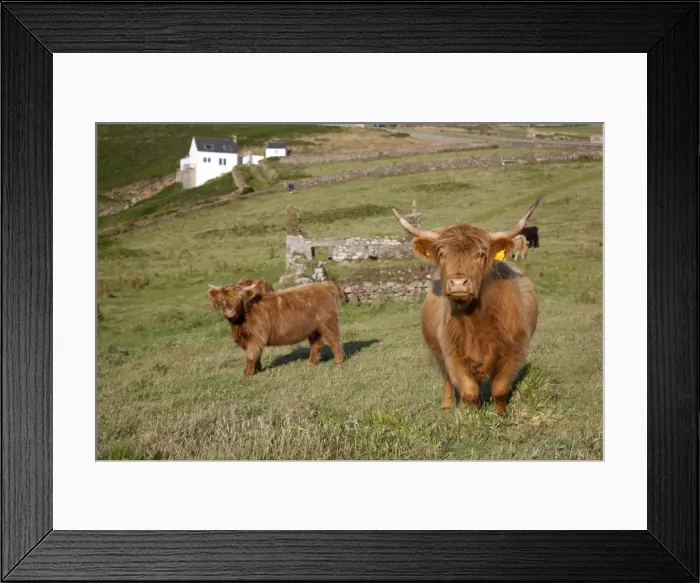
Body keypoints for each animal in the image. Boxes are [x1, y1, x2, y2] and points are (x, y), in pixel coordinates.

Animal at [207, 279, 344, 376]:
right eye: (223, 299)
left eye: (240, 298)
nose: (230, 311)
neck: (239, 324)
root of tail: (325, 285)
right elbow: (257, 355)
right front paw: (258, 370)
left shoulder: (257, 337)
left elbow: (251, 355)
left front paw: (247, 373)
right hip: (313, 328)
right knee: (317, 343)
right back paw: (311, 362)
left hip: (328, 323)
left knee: (334, 340)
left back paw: (338, 361)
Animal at [392, 197, 541, 415]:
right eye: (442, 254)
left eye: (480, 255)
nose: (458, 283)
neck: (476, 320)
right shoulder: (452, 351)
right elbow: (469, 391)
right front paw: (472, 416)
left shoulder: (514, 350)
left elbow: (500, 388)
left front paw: (500, 415)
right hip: (438, 351)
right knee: (447, 378)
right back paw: (447, 405)